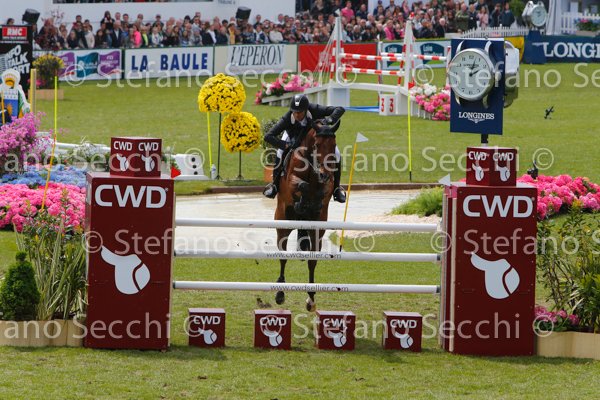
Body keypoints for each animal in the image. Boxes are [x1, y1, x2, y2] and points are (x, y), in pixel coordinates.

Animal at [273, 120, 339, 312]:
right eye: (317, 145)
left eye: (333, 146)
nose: (325, 174)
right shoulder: (292, 180)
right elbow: (302, 185)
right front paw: (302, 202)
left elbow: (321, 191)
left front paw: (315, 200)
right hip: (282, 223)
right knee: (282, 255)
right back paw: (280, 292)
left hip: (316, 231)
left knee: (312, 260)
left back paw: (311, 297)